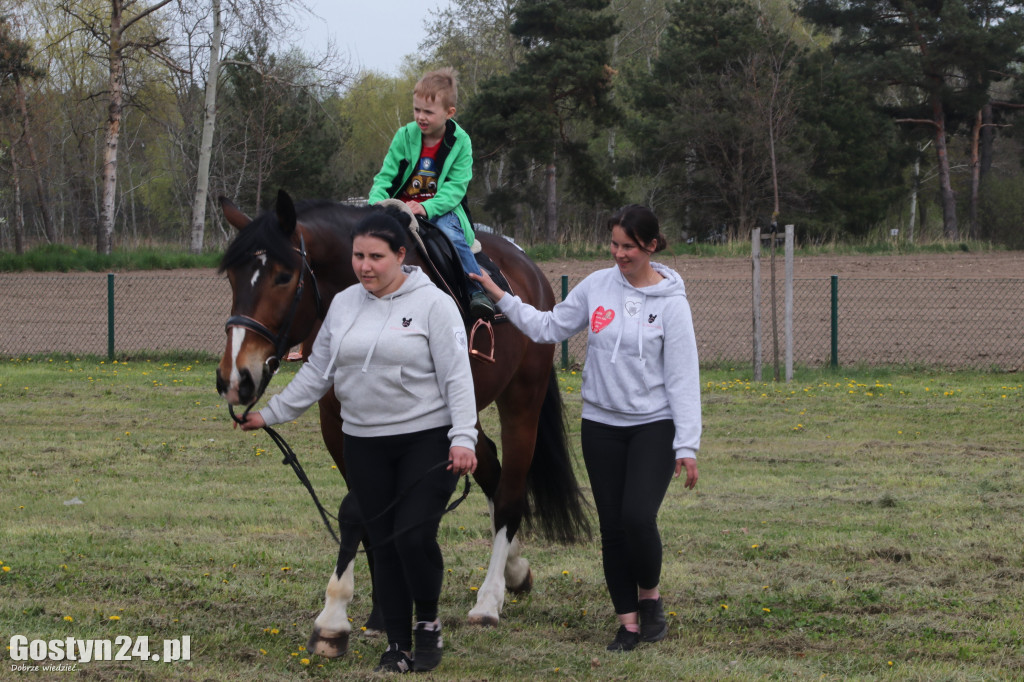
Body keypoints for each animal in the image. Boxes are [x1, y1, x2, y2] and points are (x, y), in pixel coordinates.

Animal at [216, 189, 589, 655]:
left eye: (284, 277)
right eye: (232, 277)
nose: (236, 377)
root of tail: (529, 268)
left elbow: (371, 512)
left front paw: (334, 620)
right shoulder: (340, 426)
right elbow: (369, 514)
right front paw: (377, 614)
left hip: (522, 402)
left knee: (509, 492)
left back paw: (489, 600)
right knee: (490, 468)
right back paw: (515, 571)